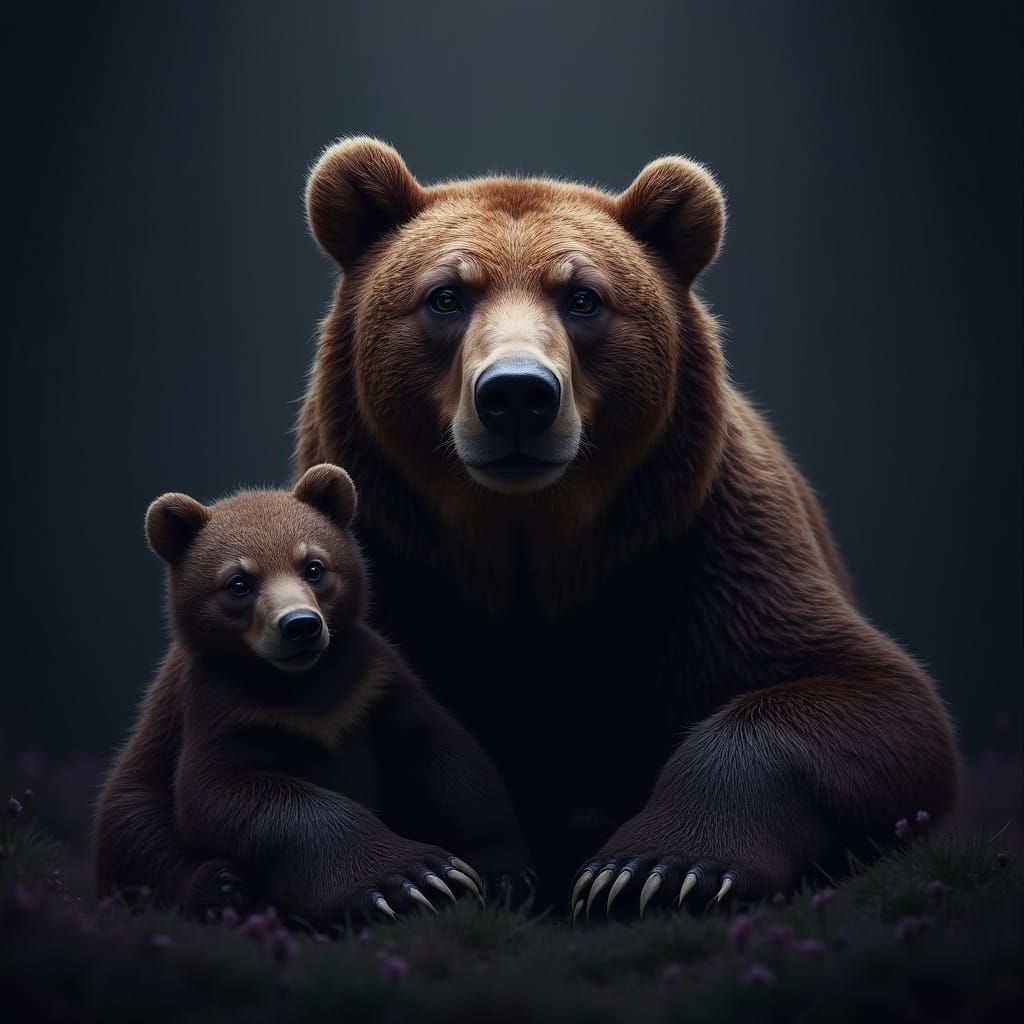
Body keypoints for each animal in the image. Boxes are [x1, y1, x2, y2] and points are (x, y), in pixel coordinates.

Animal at [93, 464, 532, 924]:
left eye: (314, 566)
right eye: (238, 582)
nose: (300, 624)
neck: (305, 689)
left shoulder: (372, 684)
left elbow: (450, 759)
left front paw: (499, 872)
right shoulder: (224, 708)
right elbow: (226, 793)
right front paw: (415, 878)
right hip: (130, 796)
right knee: (139, 836)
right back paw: (226, 887)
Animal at [291, 137, 961, 919]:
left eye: (583, 296)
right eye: (446, 296)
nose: (516, 394)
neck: (526, 547)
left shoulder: (698, 558)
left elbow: (876, 699)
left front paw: (652, 868)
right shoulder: (389, 564)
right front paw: (414, 878)